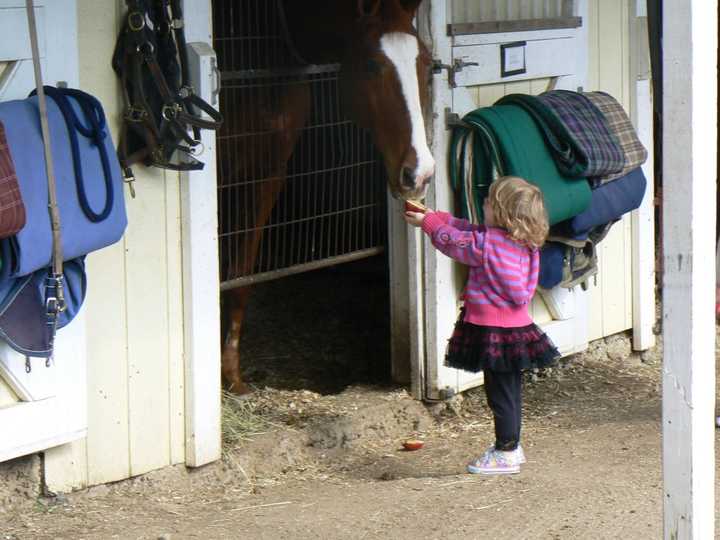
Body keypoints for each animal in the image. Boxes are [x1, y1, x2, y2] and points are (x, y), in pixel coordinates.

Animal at [219, 0, 434, 392]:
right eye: (371, 64)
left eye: (425, 61)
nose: (420, 172)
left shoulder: (268, 174)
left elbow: (240, 276)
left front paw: (232, 377)